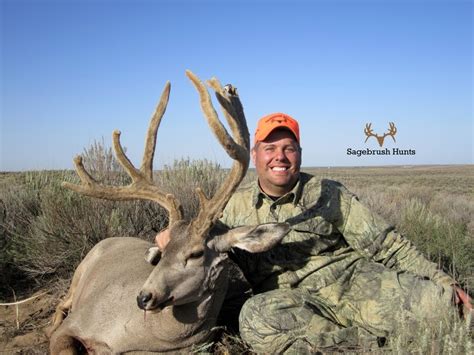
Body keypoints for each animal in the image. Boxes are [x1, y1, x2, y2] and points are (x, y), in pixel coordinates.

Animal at [48, 71, 288, 354]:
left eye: (196, 253)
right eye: (162, 251)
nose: (143, 297)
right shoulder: (77, 322)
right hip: (80, 273)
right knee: (62, 303)